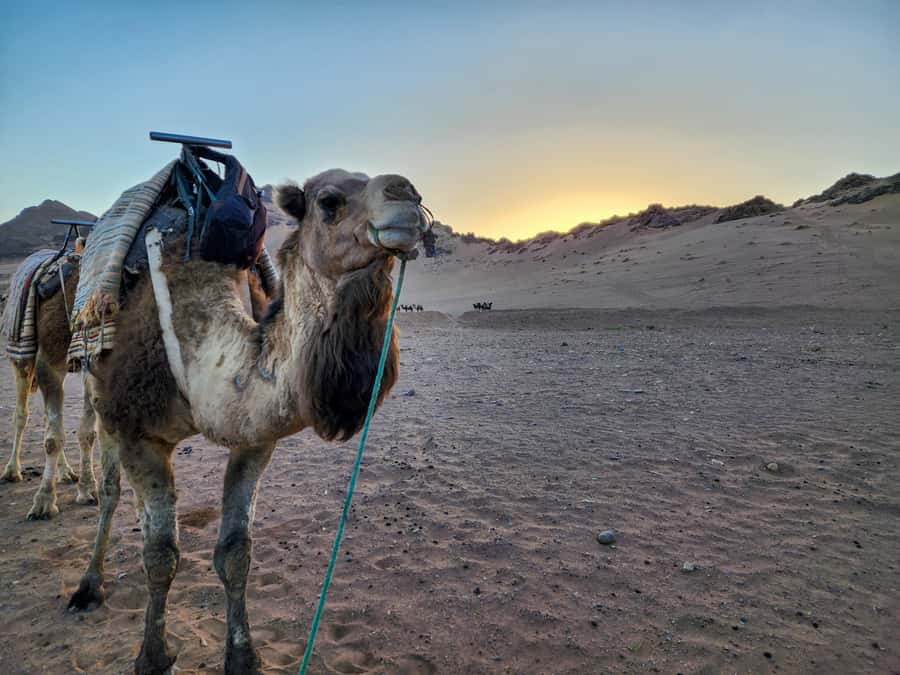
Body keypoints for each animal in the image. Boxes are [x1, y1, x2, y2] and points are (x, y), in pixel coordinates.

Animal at [2, 257, 99, 517]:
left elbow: (87, 433)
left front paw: (88, 490)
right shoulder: (46, 364)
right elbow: (52, 439)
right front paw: (44, 501)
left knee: (48, 418)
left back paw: (66, 473)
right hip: (21, 360)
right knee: (21, 414)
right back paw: (12, 471)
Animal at [67, 169, 428, 675]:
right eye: (329, 201)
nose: (407, 197)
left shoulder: (255, 440)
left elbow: (236, 551)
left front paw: (242, 656)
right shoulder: (139, 435)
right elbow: (159, 555)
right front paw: (153, 657)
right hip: (98, 393)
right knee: (108, 490)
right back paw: (88, 586)